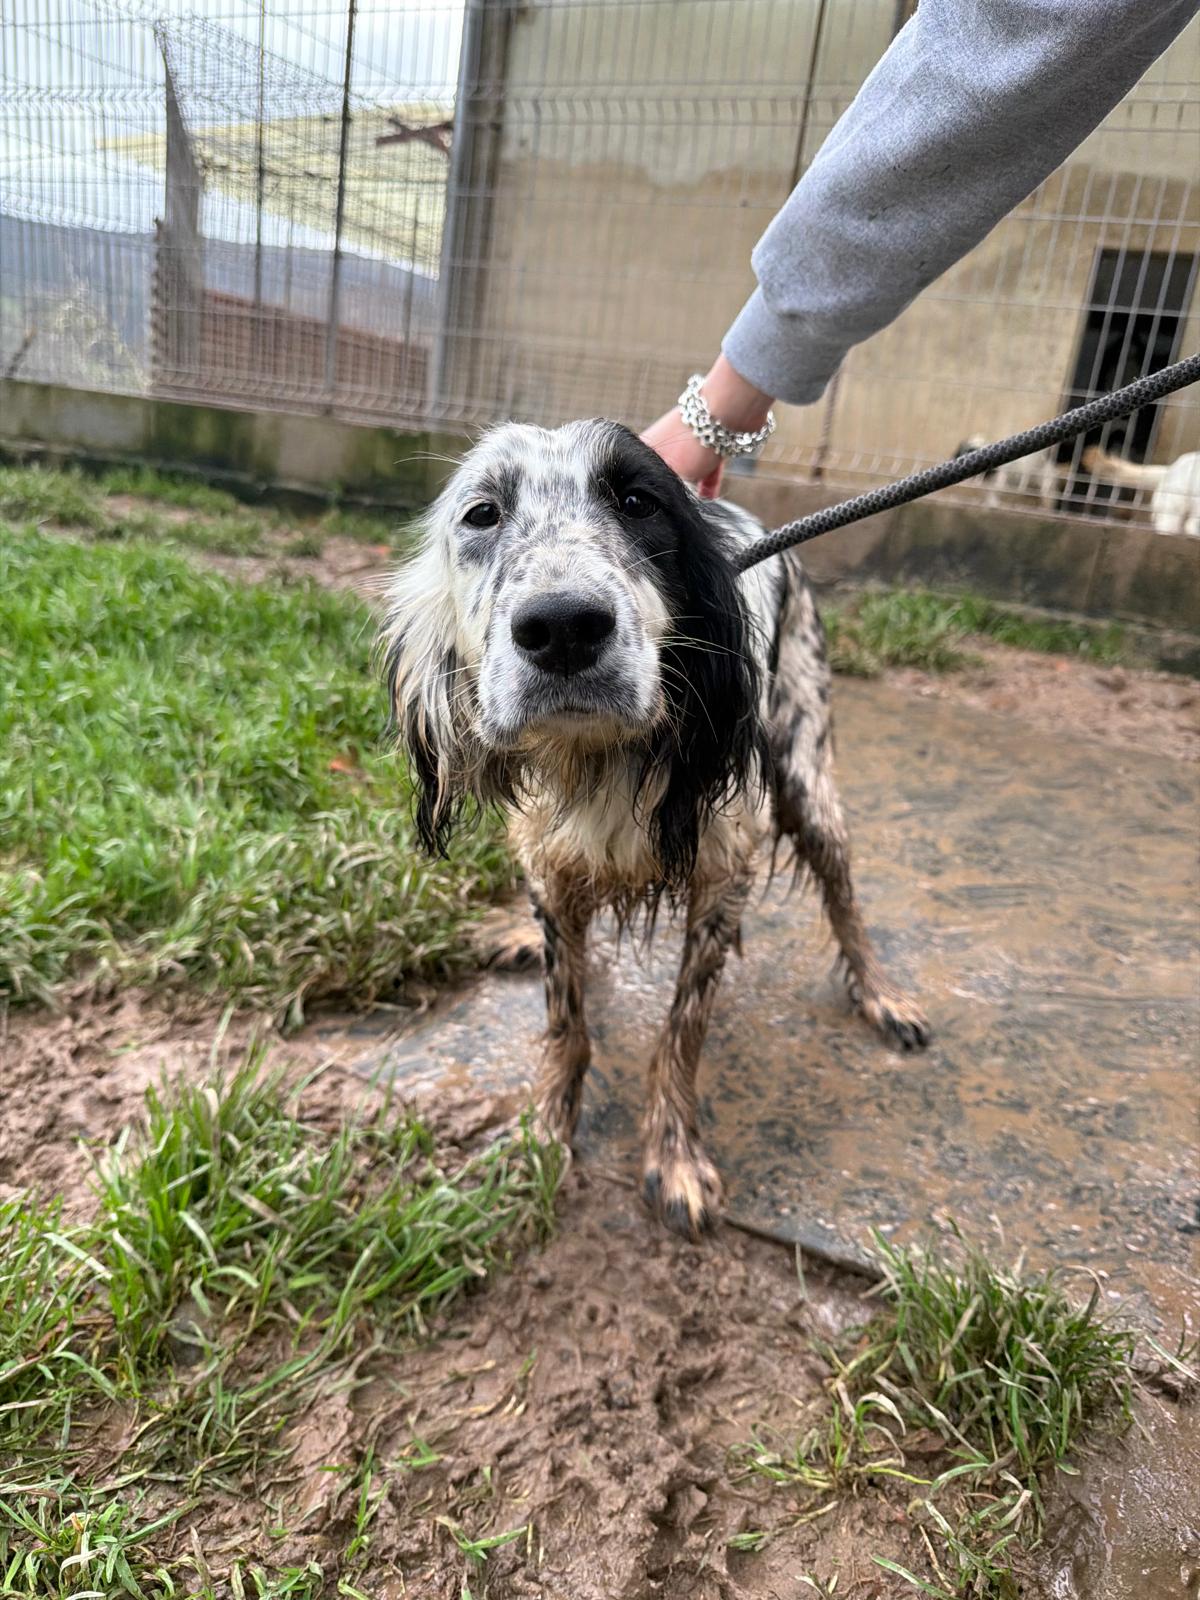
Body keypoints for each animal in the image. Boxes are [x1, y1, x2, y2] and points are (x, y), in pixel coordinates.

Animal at [383, 420, 930, 1238]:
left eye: (639, 502)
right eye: (481, 514)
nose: (563, 627)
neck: (598, 759)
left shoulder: (721, 879)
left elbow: (682, 1031)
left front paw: (674, 1158)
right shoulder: (553, 867)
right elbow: (566, 1019)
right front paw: (546, 1131)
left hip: (809, 781)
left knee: (845, 899)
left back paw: (881, 996)